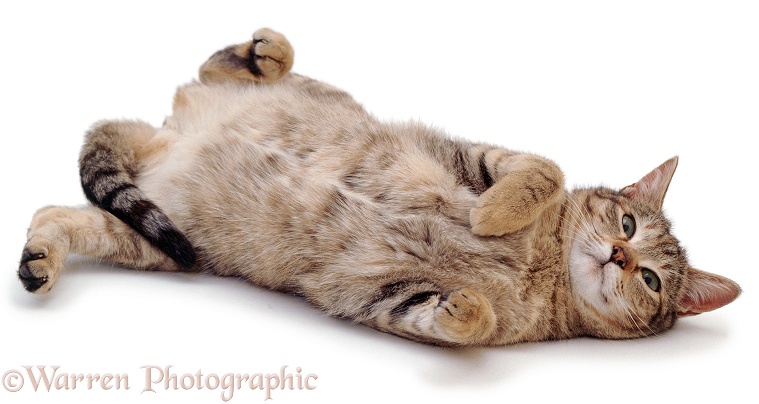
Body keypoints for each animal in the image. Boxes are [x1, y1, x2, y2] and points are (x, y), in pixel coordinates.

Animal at [19, 28, 744, 346]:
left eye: (650, 280)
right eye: (627, 225)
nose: (619, 256)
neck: (543, 265)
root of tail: (164, 139)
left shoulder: (385, 294)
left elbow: (462, 323)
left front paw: (466, 307)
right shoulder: (476, 156)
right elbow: (543, 171)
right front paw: (496, 213)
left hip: (166, 241)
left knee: (59, 210)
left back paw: (40, 258)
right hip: (300, 97)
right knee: (212, 68)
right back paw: (264, 51)